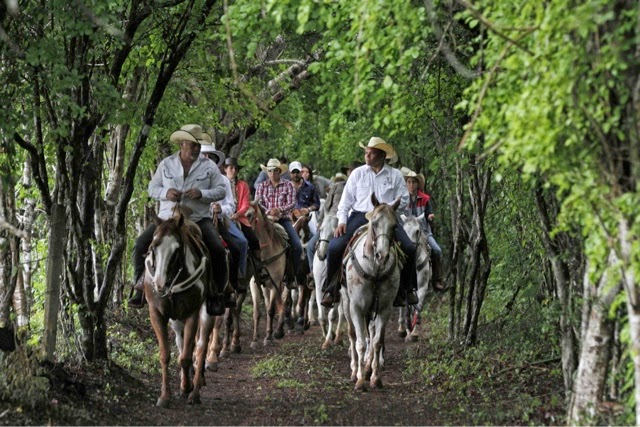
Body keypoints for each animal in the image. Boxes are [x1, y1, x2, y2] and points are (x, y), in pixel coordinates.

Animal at [142, 211, 215, 408]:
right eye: (153, 247)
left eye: (177, 250)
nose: (159, 285)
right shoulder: (156, 313)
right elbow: (166, 354)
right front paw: (165, 396)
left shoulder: (192, 313)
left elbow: (186, 356)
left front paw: (189, 388)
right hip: (176, 320)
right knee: (183, 344)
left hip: (207, 313)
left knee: (200, 346)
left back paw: (195, 389)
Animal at [246, 201, 288, 348]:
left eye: (249, 214)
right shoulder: (254, 284)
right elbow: (257, 312)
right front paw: (254, 339)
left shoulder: (276, 282)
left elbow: (270, 310)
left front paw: (269, 337)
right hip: (266, 287)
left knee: (284, 301)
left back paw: (279, 331)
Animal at [312, 214, 348, 352]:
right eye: (320, 229)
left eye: (334, 232)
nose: (321, 255)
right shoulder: (318, 287)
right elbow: (321, 317)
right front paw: (326, 334)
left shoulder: (336, 291)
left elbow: (332, 316)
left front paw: (328, 340)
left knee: (342, 313)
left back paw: (338, 337)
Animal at [340, 196, 400, 392]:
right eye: (374, 223)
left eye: (394, 226)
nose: (382, 255)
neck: (375, 271)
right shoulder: (357, 307)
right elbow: (360, 342)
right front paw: (360, 380)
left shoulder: (384, 308)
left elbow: (376, 342)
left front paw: (375, 377)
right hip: (346, 303)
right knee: (352, 335)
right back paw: (354, 371)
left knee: (371, 335)